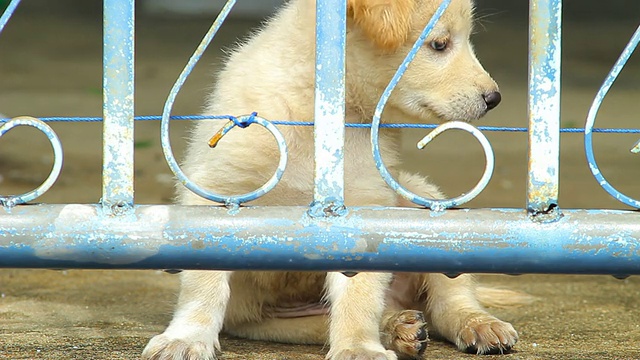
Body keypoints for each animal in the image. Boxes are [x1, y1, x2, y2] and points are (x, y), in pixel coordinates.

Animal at [142, 0, 524, 360]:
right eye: (440, 44)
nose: (494, 98)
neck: (318, 114)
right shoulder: (217, 191)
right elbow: (202, 285)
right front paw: (186, 338)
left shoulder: (363, 211)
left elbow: (359, 295)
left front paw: (358, 347)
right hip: (273, 322)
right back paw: (398, 329)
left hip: (422, 200)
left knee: (449, 300)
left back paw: (477, 324)